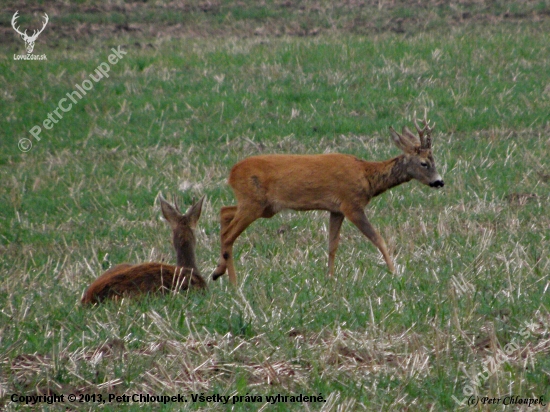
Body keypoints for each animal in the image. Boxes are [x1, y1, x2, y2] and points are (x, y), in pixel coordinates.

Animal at [213, 112, 446, 284]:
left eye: (434, 160)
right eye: (424, 163)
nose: (439, 182)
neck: (367, 176)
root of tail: (232, 173)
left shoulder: (336, 209)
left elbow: (332, 245)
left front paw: (330, 278)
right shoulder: (352, 204)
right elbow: (378, 238)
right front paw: (394, 272)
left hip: (261, 206)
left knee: (224, 213)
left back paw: (218, 272)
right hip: (254, 202)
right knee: (229, 234)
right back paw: (232, 282)